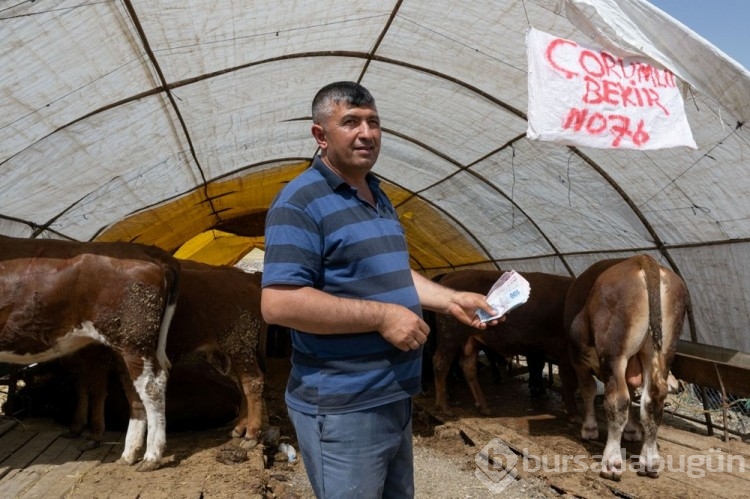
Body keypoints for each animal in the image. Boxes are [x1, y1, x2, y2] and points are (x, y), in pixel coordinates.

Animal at [0, 235, 181, 472]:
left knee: (152, 387)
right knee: (133, 391)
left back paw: (152, 456)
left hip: (135, 341)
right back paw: (129, 454)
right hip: (123, 345)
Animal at [67, 260, 268, 448]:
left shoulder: (96, 356)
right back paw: (239, 428)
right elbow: (81, 387)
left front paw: (93, 434)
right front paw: (77, 426)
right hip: (232, 353)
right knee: (243, 386)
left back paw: (251, 434)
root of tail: (247, 280)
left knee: (253, 383)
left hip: (240, 347)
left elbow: (96, 392)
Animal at [428, 270, 580, 418]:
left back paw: (483, 407)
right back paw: (445, 407)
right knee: (441, 364)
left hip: (471, 339)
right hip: (450, 337)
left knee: (468, 367)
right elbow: (569, 381)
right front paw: (572, 412)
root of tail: (450, 275)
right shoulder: (565, 353)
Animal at [564, 256, 692, 482]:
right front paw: (632, 431)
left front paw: (589, 428)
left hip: (614, 353)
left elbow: (588, 391)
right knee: (653, 400)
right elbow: (633, 395)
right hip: (661, 351)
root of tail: (642, 259)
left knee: (618, 401)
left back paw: (611, 462)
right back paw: (650, 461)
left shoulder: (578, 359)